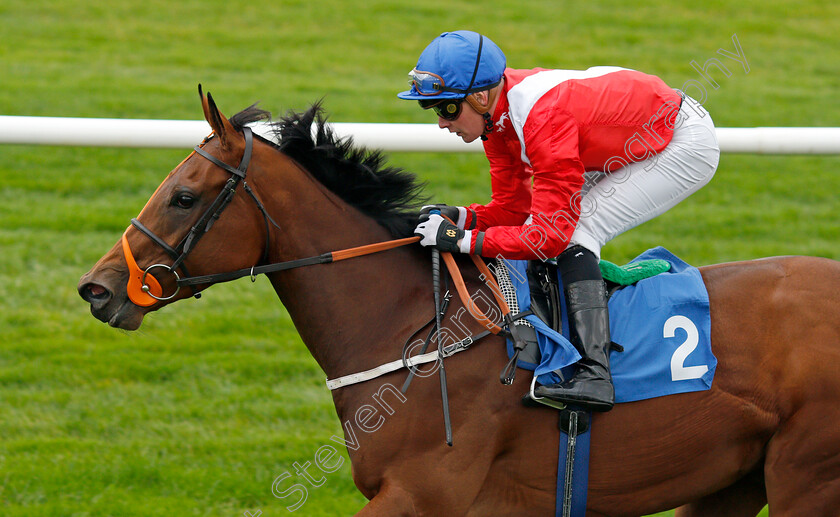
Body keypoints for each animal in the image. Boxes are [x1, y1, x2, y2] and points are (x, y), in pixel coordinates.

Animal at [79, 87, 840, 512]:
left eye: (183, 196)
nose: (98, 287)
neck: (413, 325)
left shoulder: (424, 493)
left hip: (806, 477)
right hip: (729, 482)